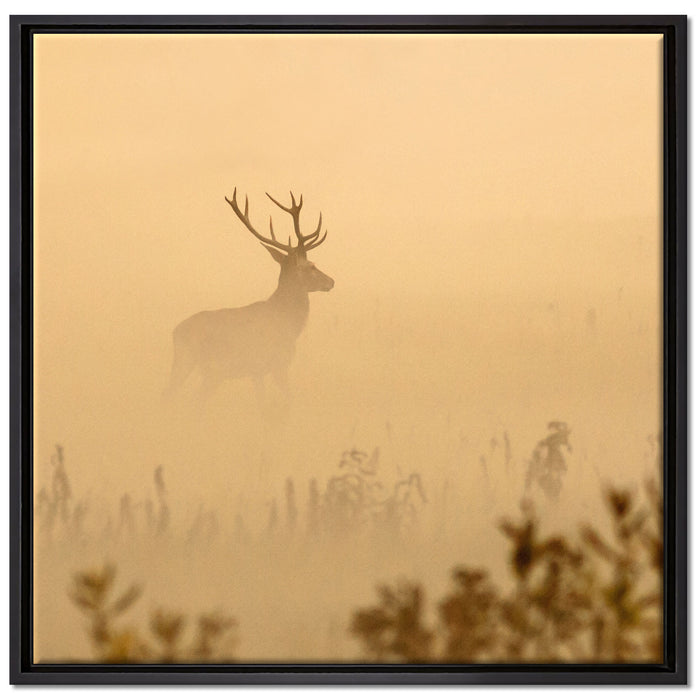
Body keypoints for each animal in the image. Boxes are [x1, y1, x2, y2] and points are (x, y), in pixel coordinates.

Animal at [165, 189, 334, 403]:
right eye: (311, 266)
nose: (331, 281)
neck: (287, 322)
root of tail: (175, 332)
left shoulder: (257, 372)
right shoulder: (277, 364)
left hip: (202, 370)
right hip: (195, 363)